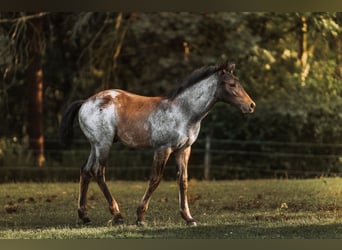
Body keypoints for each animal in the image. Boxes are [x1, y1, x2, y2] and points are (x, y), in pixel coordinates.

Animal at [60, 62, 255, 227]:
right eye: (231, 84)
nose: (251, 106)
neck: (183, 112)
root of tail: (85, 102)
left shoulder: (184, 150)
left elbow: (183, 181)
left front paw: (189, 218)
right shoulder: (163, 149)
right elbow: (155, 179)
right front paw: (140, 217)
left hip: (95, 145)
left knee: (86, 171)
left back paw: (85, 217)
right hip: (104, 144)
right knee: (98, 172)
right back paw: (117, 214)